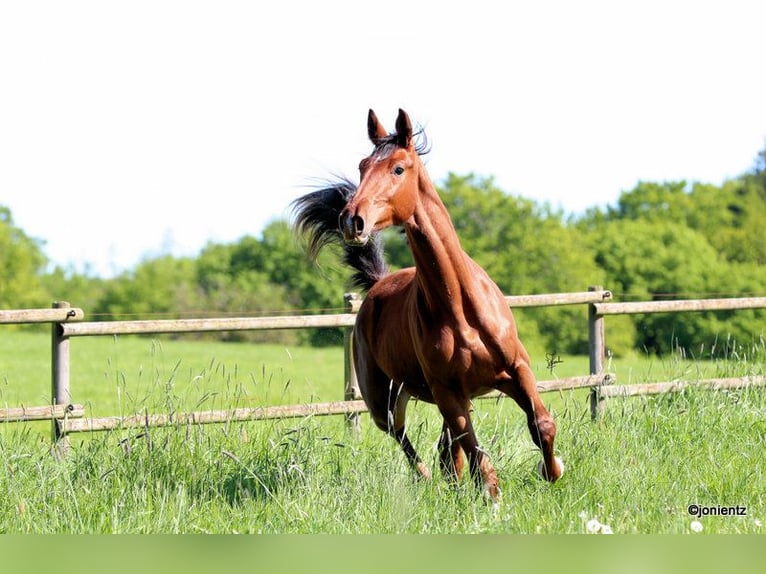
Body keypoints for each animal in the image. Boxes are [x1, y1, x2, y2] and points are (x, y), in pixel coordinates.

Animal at [291, 109, 563, 501]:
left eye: (398, 168)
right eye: (362, 167)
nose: (351, 220)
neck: (460, 309)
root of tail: (377, 284)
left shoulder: (516, 370)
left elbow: (541, 423)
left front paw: (551, 470)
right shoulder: (447, 391)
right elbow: (475, 450)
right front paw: (492, 496)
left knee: (446, 449)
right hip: (385, 399)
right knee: (406, 436)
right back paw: (425, 477)